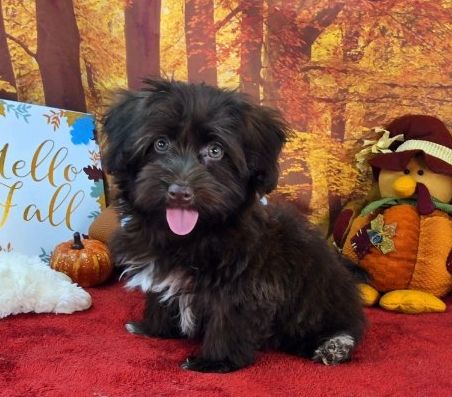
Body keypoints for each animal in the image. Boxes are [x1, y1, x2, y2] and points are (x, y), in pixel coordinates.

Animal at [102, 79, 364, 372]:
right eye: (160, 144)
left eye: (215, 151)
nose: (180, 192)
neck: (189, 236)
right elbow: (160, 295)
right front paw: (153, 328)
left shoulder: (246, 282)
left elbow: (228, 316)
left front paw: (214, 361)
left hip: (321, 297)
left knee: (339, 326)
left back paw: (335, 345)